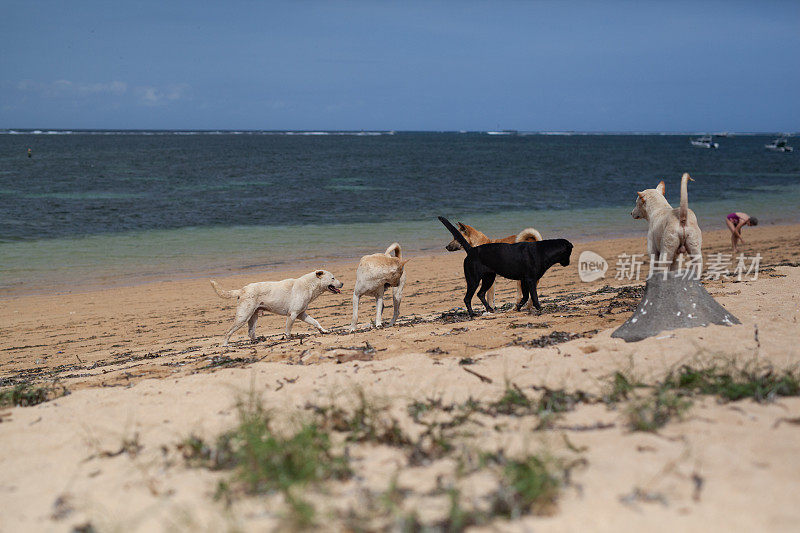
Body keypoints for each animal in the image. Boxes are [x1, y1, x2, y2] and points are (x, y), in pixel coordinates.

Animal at [208, 270, 342, 344]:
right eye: (333, 278)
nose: (342, 283)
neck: (309, 285)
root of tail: (242, 290)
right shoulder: (293, 314)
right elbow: (288, 329)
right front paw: (289, 338)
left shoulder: (301, 314)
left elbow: (315, 322)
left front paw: (323, 331)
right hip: (243, 316)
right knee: (228, 332)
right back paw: (225, 345)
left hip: (253, 316)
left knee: (250, 332)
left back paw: (257, 341)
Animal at [438, 216, 576, 316]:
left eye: (455, 238)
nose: (446, 247)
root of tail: (471, 250)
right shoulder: (529, 280)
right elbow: (532, 296)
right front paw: (538, 308)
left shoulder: (526, 280)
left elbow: (527, 296)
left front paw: (522, 308)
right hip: (475, 280)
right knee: (468, 298)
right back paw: (473, 314)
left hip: (488, 279)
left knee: (479, 294)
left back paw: (491, 309)